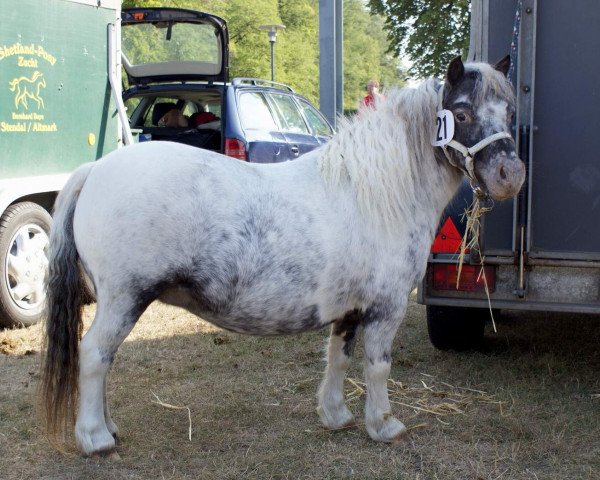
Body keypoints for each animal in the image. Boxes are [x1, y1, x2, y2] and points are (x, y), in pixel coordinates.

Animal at [39, 54, 524, 456]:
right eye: (461, 113)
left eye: (509, 112)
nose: (510, 175)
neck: (375, 193)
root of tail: (95, 170)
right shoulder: (385, 308)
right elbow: (378, 366)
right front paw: (383, 425)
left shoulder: (349, 309)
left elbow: (338, 356)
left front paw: (336, 415)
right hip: (125, 298)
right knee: (95, 355)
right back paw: (95, 439)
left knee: (104, 359)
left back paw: (109, 427)